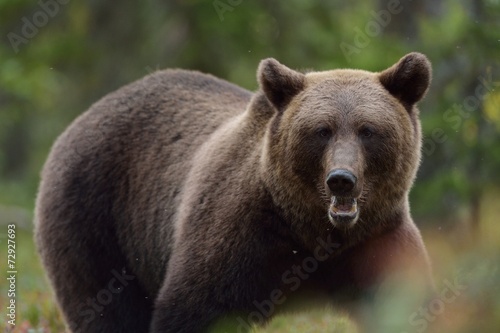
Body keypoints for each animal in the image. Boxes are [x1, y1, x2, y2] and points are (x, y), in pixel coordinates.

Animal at [35, 52, 434, 332]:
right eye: (322, 130)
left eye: (368, 130)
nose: (341, 179)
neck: (313, 232)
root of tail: (81, 120)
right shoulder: (239, 234)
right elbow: (193, 309)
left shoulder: (375, 241)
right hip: (94, 218)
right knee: (106, 309)